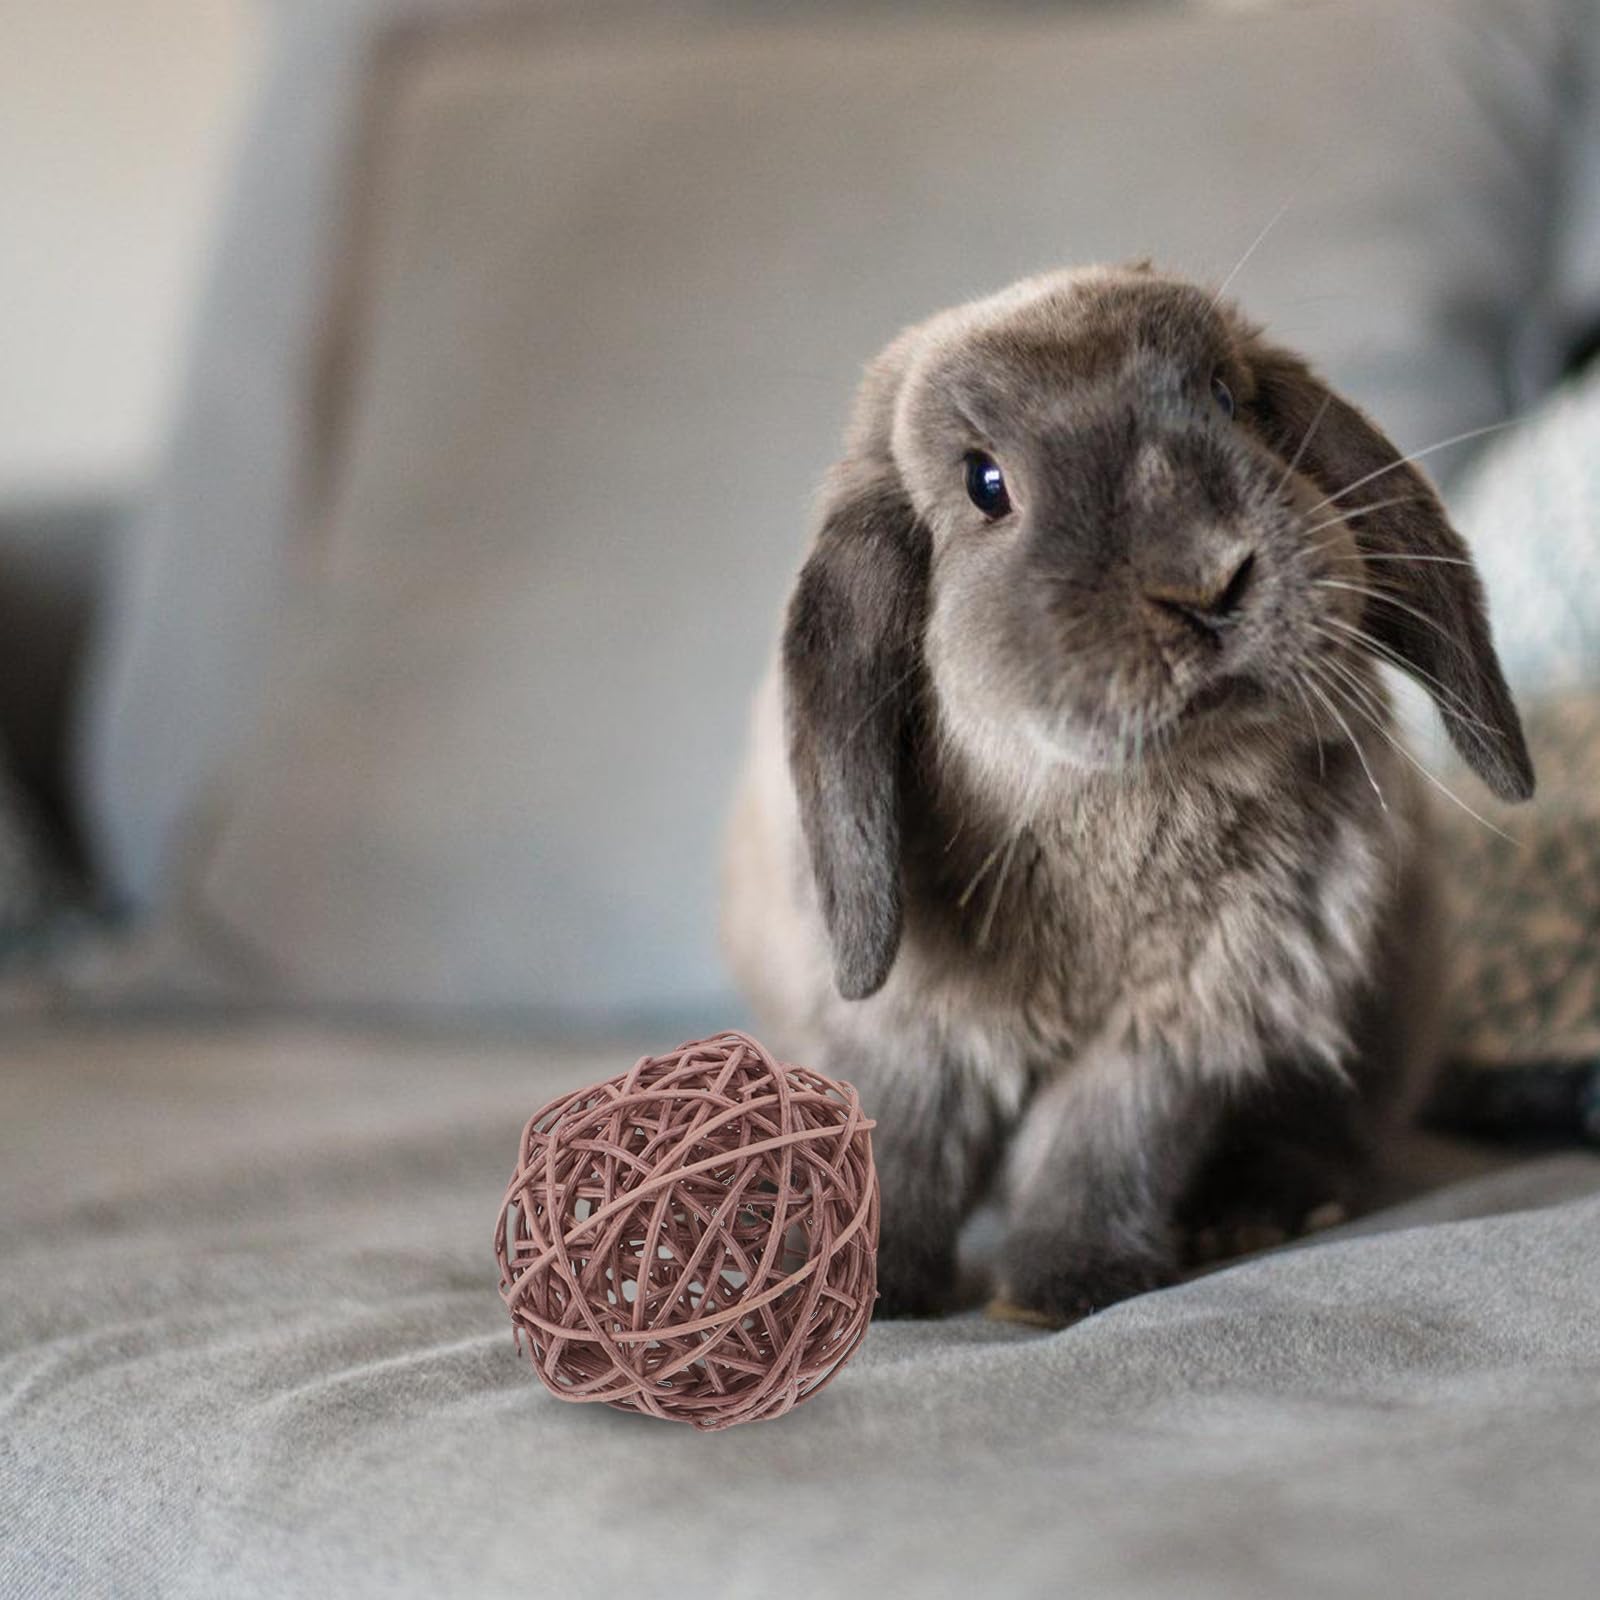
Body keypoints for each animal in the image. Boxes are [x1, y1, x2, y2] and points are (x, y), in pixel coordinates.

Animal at [722, 263, 1533, 1324]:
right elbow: (900, 1142)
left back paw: (1255, 1216)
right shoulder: (903, 1033)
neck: (1121, 806)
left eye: (1228, 400)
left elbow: (1102, 1145)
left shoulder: (1177, 1029)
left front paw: (1066, 1287)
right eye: (985, 484)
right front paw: (865, 1287)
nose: (1206, 581)